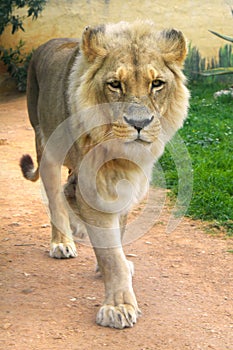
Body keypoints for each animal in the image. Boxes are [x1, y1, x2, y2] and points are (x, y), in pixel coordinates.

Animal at [20, 21, 189, 328]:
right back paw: (62, 241)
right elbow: (112, 256)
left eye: (156, 84)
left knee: (67, 191)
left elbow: (116, 235)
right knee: (55, 199)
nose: (139, 124)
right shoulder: (93, 187)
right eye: (115, 84)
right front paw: (118, 307)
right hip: (45, 146)